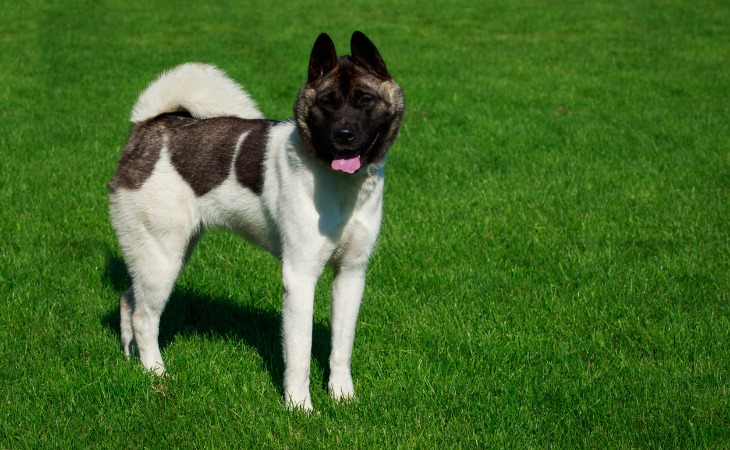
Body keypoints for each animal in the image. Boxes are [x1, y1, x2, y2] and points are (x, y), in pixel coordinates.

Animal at [107, 32, 404, 412]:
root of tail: (148, 125)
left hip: (159, 254)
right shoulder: (299, 277)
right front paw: (299, 407)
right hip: (163, 258)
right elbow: (299, 352)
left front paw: (342, 395)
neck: (338, 183)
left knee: (129, 300)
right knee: (144, 317)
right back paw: (156, 373)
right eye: (327, 102)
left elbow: (342, 344)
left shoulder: (352, 273)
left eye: (365, 100)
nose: (344, 134)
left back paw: (131, 358)